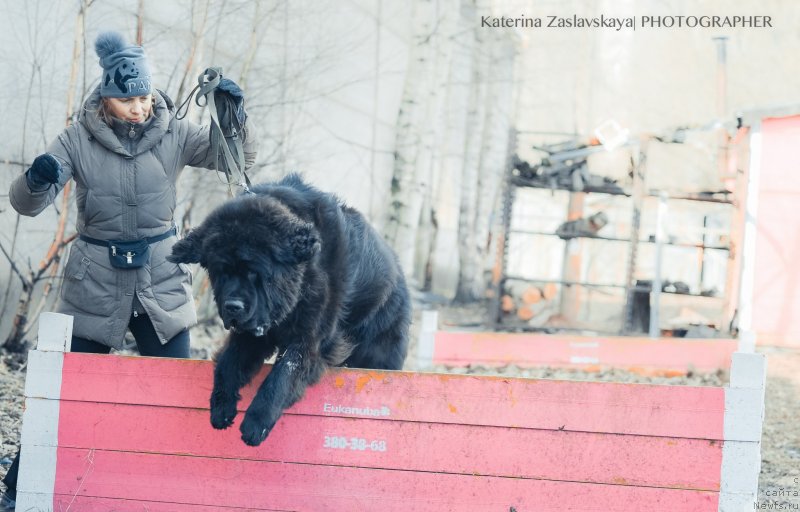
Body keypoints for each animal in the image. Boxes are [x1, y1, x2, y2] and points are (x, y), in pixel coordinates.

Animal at [166, 175, 410, 444]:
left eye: (254, 272)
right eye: (221, 272)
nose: (233, 307)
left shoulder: (309, 340)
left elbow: (283, 375)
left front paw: (256, 424)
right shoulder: (250, 334)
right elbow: (229, 363)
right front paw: (221, 407)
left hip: (379, 353)